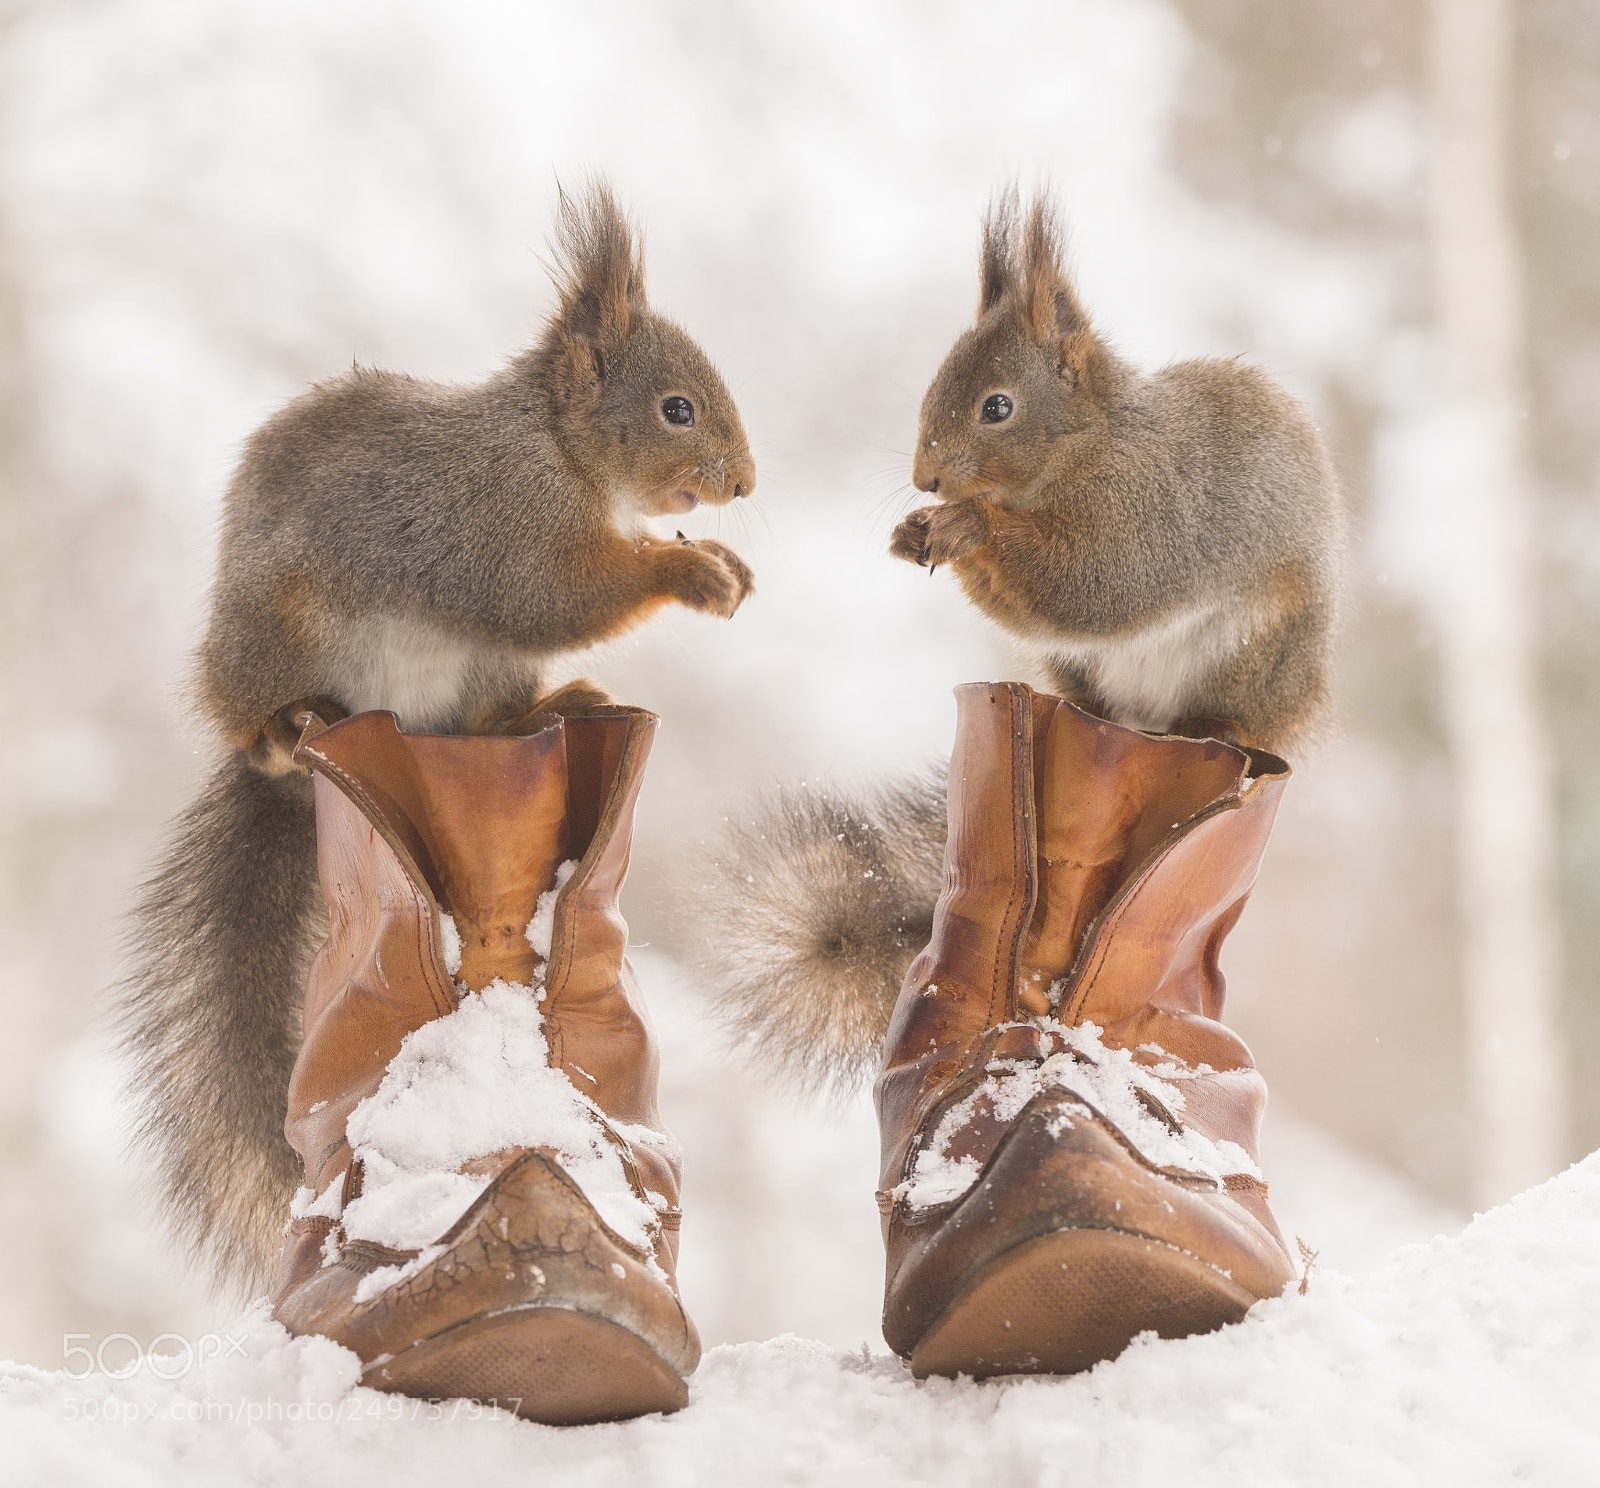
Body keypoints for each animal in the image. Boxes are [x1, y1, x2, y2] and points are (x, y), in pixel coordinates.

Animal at [120, 182, 757, 1292]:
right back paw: (284, 728)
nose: (745, 483)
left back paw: (544, 712)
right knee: (255, 719)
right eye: (676, 408)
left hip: (477, 675)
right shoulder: (498, 531)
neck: (553, 449)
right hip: (270, 635)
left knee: (485, 720)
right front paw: (692, 569)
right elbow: (557, 594)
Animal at [684, 188, 1342, 1097]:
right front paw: (916, 529)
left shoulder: (1150, 514)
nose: (926, 479)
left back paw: (1217, 731)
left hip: (1257, 659)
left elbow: (1088, 583)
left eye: (997, 406)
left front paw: (965, 527)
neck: (1090, 444)